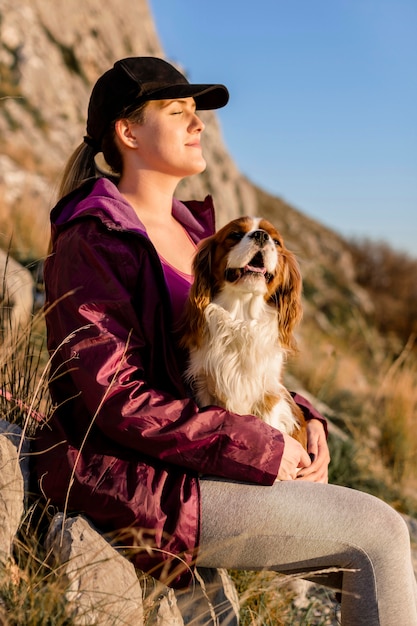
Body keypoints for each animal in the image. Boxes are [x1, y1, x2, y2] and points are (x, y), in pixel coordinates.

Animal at [181, 217, 306, 446]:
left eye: (276, 242)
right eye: (236, 235)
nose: (261, 236)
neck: (242, 317)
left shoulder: (268, 397)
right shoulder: (205, 389)